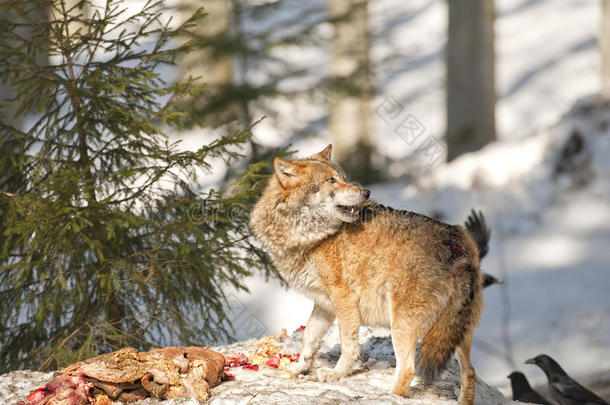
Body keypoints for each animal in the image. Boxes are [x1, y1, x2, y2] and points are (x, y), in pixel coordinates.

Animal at [248, 145, 484, 404]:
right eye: (331, 180)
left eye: (343, 178)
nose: (366, 191)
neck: (310, 238)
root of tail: (458, 246)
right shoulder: (324, 305)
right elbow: (308, 338)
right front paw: (298, 369)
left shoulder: (344, 300)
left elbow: (348, 346)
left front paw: (335, 375)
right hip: (455, 333)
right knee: (470, 372)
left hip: (401, 325)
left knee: (408, 370)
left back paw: (389, 397)